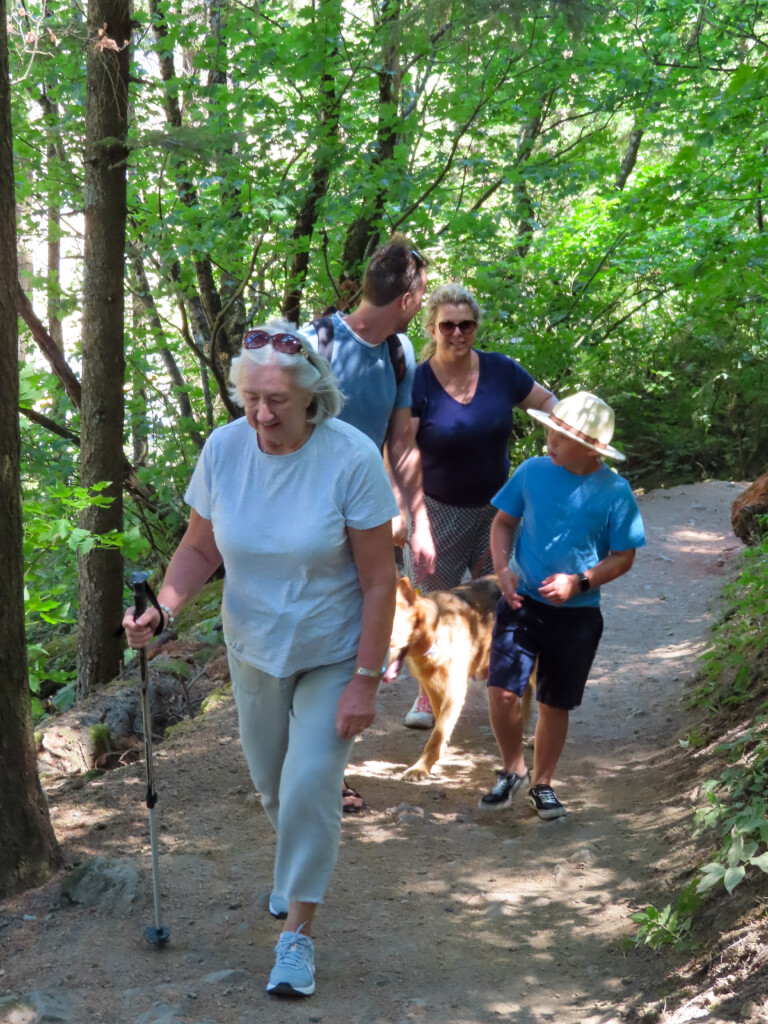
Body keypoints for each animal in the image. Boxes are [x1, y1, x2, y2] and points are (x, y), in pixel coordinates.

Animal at [385, 573, 536, 778]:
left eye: (390, 637)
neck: (435, 632)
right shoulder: (433, 688)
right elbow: (440, 728)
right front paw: (437, 755)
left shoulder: (454, 692)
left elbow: (438, 732)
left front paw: (421, 767)